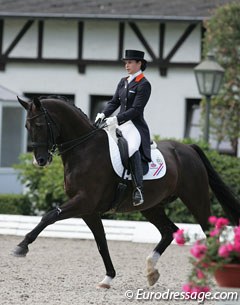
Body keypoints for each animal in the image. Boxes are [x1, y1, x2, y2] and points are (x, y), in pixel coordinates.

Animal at [15, 95, 239, 288]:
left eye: (39, 125)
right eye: (26, 126)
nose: (40, 160)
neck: (84, 149)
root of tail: (189, 149)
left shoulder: (84, 201)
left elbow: (49, 216)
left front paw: (22, 246)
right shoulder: (88, 210)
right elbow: (101, 242)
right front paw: (108, 278)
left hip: (195, 198)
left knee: (210, 232)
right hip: (151, 206)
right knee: (169, 231)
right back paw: (151, 271)